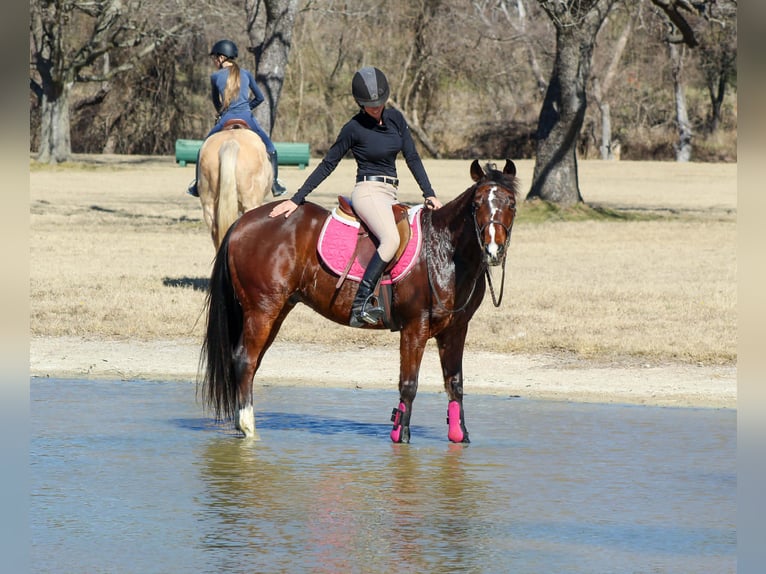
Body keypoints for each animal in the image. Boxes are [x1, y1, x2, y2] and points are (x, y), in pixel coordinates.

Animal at [199, 159, 518, 443]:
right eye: (476, 205)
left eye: (511, 204)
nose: (493, 250)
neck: (443, 251)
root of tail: (243, 221)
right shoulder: (415, 328)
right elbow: (409, 384)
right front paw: (400, 436)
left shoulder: (455, 329)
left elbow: (455, 384)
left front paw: (459, 435)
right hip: (262, 310)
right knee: (245, 360)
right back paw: (248, 428)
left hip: (276, 311)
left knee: (251, 362)